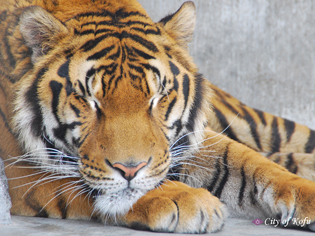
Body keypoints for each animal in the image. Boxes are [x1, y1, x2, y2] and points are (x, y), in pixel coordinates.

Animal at [1, 0, 315, 233]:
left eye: (156, 98)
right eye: (90, 100)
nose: (129, 169)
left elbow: (248, 161)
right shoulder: (22, 168)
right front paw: (185, 198)